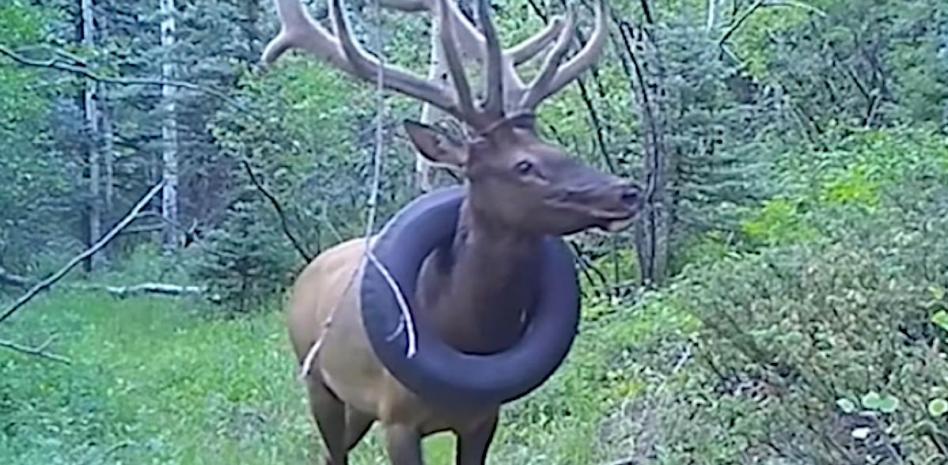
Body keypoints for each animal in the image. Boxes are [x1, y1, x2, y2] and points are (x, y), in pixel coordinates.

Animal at [261, 0, 643, 463]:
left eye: (555, 148)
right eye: (523, 166)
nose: (627, 192)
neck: (462, 330)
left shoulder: (484, 417)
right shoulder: (397, 419)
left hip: (357, 405)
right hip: (318, 381)